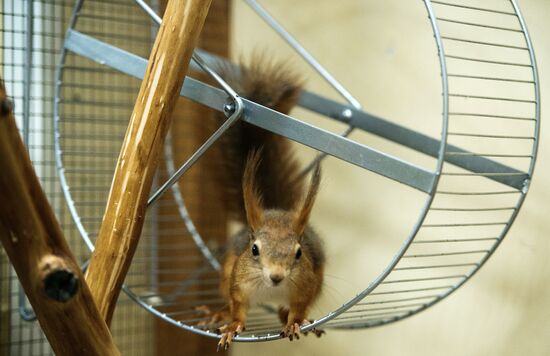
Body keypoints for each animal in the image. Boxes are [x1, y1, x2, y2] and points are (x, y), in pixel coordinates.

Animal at [215, 57, 328, 350]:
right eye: (254, 249)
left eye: (299, 253)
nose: (276, 276)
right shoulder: (238, 284)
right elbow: (238, 308)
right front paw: (232, 326)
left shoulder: (305, 285)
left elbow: (298, 307)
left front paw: (297, 322)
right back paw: (217, 313)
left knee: (282, 311)